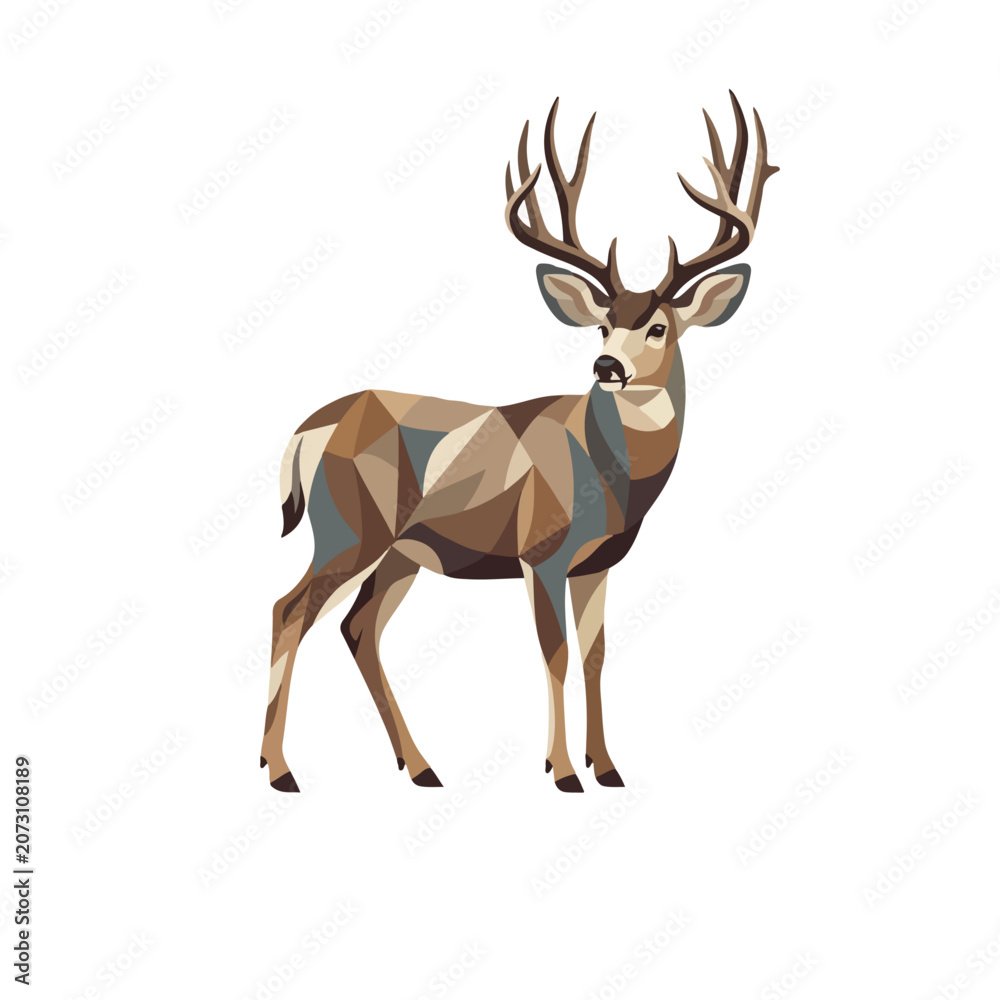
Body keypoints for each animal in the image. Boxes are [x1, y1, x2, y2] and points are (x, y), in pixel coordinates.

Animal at [260, 93, 777, 793]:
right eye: (604, 324)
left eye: (659, 327)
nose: (607, 367)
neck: (605, 473)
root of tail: (305, 431)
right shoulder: (541, 550)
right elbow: (554, 654)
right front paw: (561, 772)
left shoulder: (597, 563)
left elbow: (595, 656)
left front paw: (607, 767)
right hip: (348, 527)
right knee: (289, 612)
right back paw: (280, 770)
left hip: (400, 552)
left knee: (358, 625)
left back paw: (420, 766)